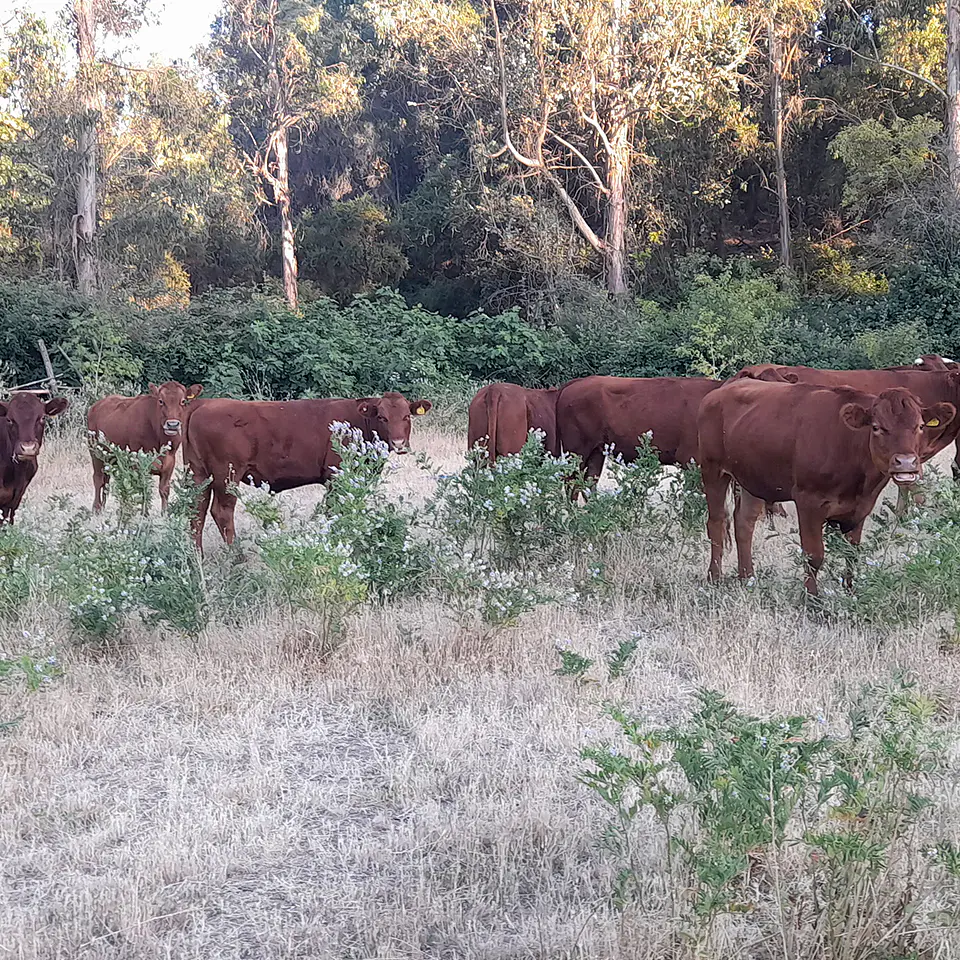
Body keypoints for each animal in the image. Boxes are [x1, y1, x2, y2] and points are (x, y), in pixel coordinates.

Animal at [87, 381, 204, 514]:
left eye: (183, 401)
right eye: (161, 401)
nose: (172, 424)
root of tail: (97, 405)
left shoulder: (170, 463)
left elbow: (164, 489)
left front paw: (164, 513)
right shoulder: (139, 462)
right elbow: (144, 487)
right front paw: (145, 513)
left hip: (108, 458)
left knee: (106, 480)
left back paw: (103, 507)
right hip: (95, 453)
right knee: (98, 479)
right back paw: (96, 508)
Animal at [183, 391, 431, 550]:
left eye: (406, 416)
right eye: (382, 417)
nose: (399, 443)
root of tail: (203, 404)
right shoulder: (336, 476)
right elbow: (336, 510)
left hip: (198, 473)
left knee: (197, 511)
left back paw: (197, 557)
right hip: (227, 474)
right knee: (222, 511)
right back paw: (237, 557)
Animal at [698, 378, 954, 595]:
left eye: (920, 426)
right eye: (877, 427)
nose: (906, 462)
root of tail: (724, 388)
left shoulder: (861, 506)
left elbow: (852, 552)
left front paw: (850, 593)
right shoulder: (808, 500)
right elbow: (814, 556)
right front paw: (812, 601)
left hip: (752, 477)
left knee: (744, 522)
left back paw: (747, 578)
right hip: (713, 469)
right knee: (717, 523)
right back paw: (714, 578)